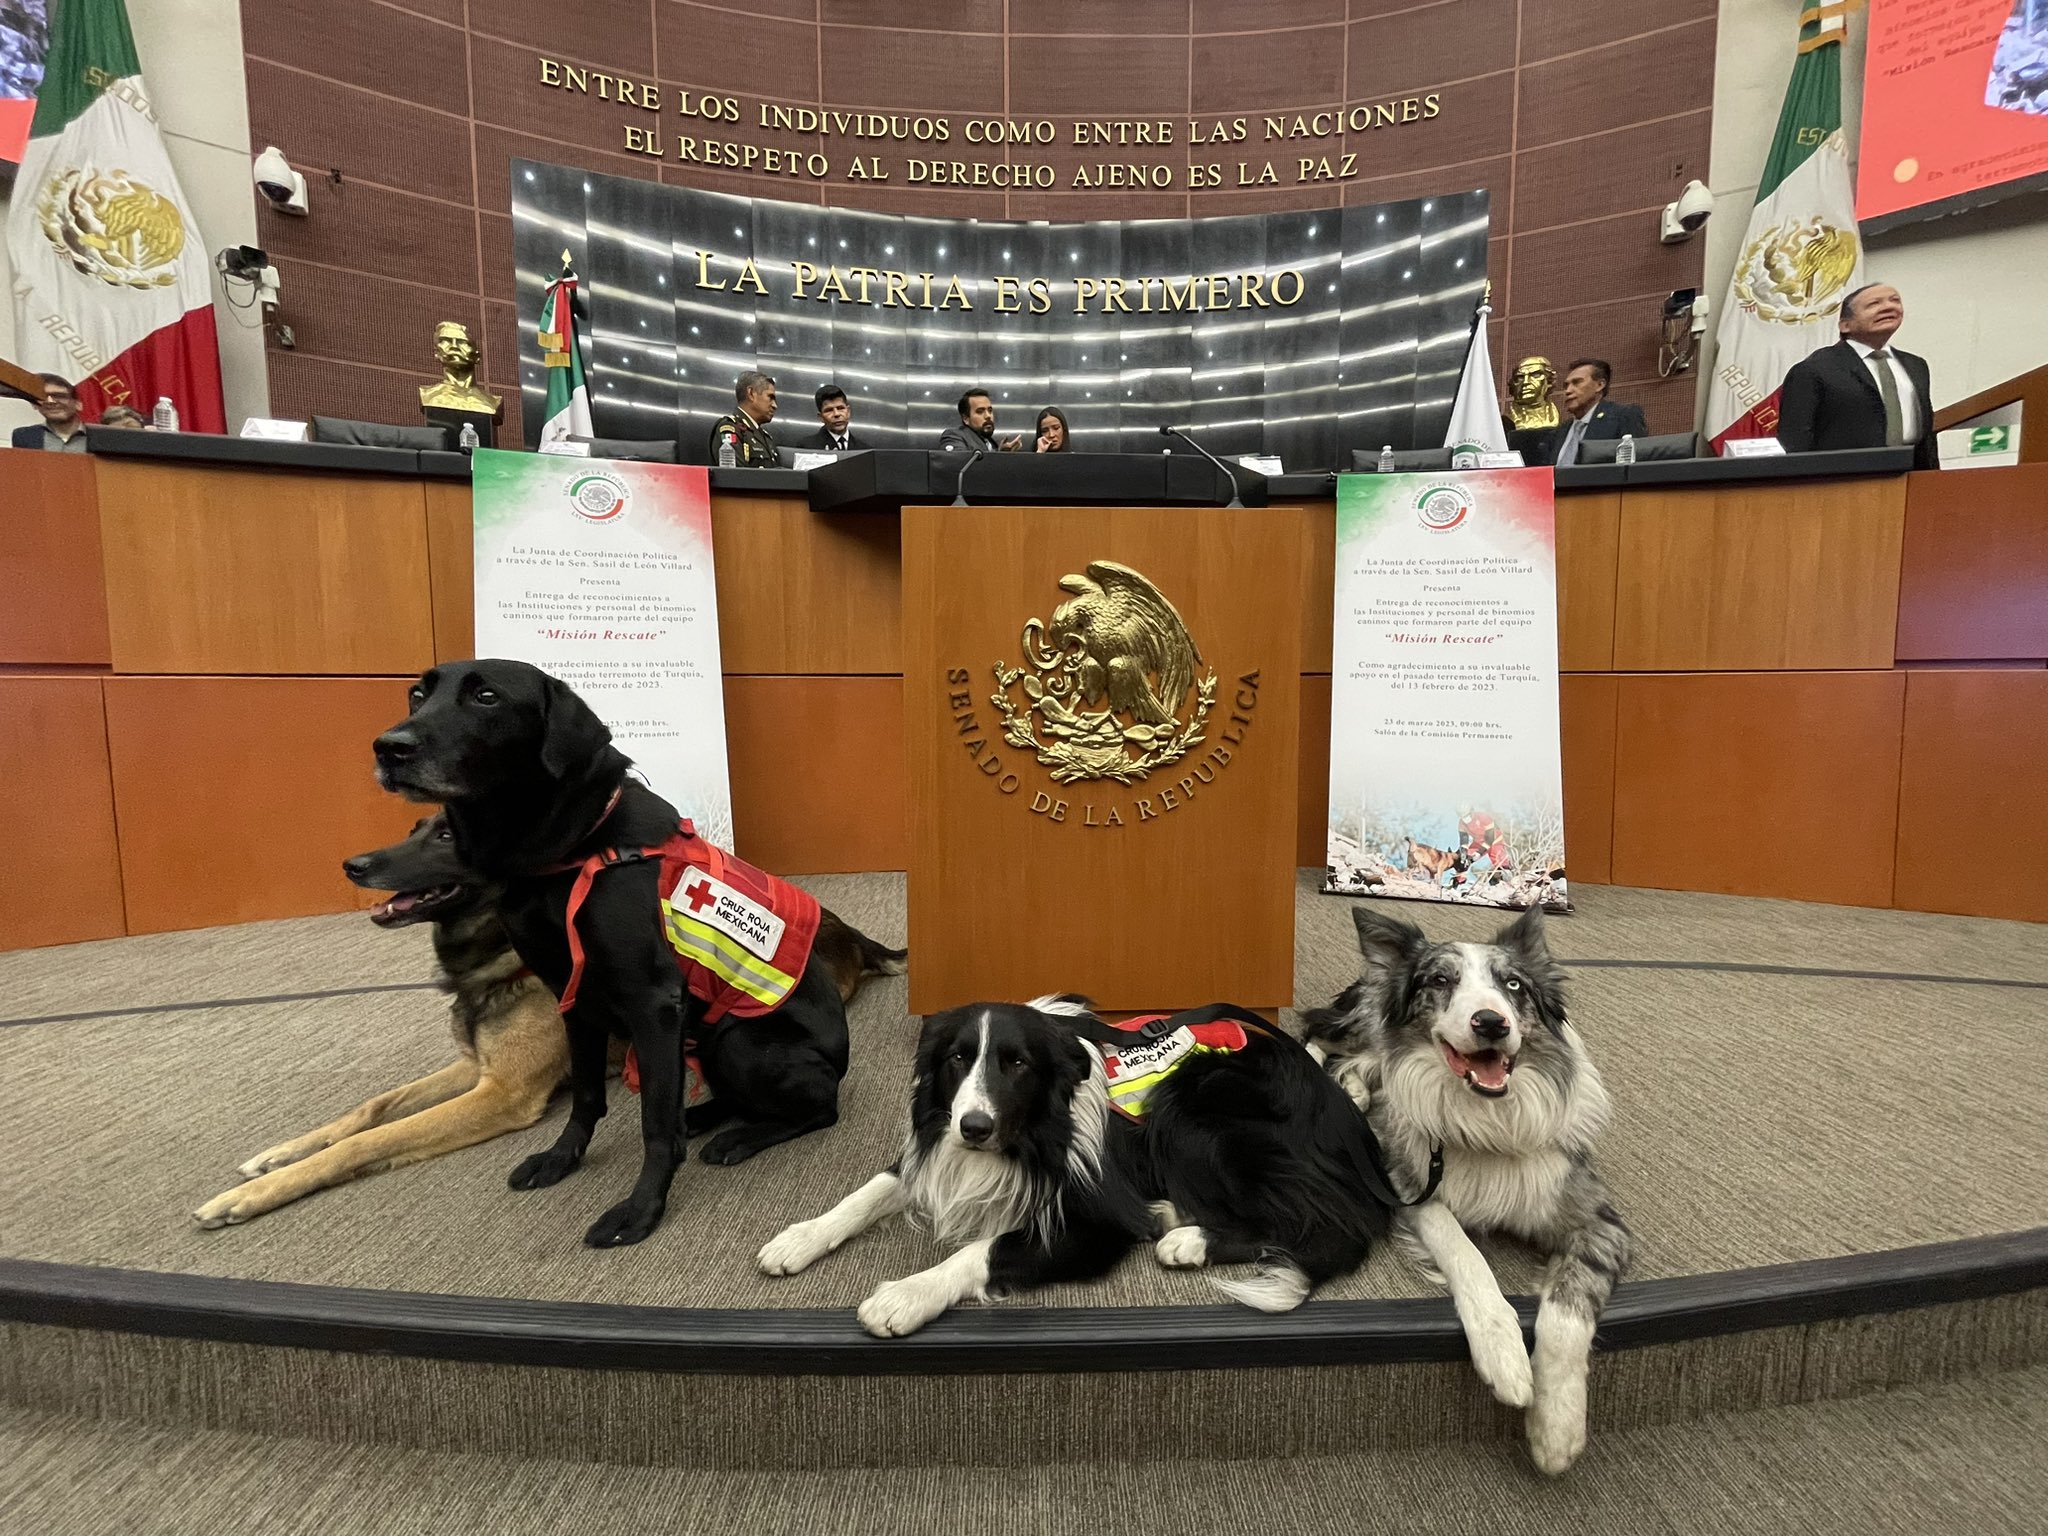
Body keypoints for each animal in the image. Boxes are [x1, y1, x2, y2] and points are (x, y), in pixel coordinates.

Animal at [195, 819, 901, 1236]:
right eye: (415, 827)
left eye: (446, 838)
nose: (354, 863)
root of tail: (850, 931)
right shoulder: (476, 1067)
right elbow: (372, 1108)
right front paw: (277, 1156)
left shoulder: (502, 1093)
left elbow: (372, 1139)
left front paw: (249, 1197)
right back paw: (699, 1118)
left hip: (737, 1040)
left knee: (815, 1105)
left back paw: (732, 1136)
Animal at [761, 1003, 1400, 1343]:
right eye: (958, 1059)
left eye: (1017, 1064)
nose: (974, 1127)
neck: (1026, 1136)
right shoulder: (936, 1142)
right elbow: (871, 1190)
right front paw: (798, 1238)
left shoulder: (1098, 1223)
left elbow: (983, 1249)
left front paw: (905, 1295)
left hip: (1194, 1104)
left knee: (1327, 1228)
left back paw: (1187, 1237)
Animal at [1310, 913, 1630, 1482]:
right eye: (1441, 981)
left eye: (1514, 986)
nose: (1491, 1023)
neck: (1488, 1118)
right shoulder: (1409, 1185)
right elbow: (1466, 1253)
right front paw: (1504, 1356)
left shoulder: (1599, 1221)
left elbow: (1568, 1312)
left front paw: (1557, 1428)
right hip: (1361, 1021)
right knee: (1328, 1045)